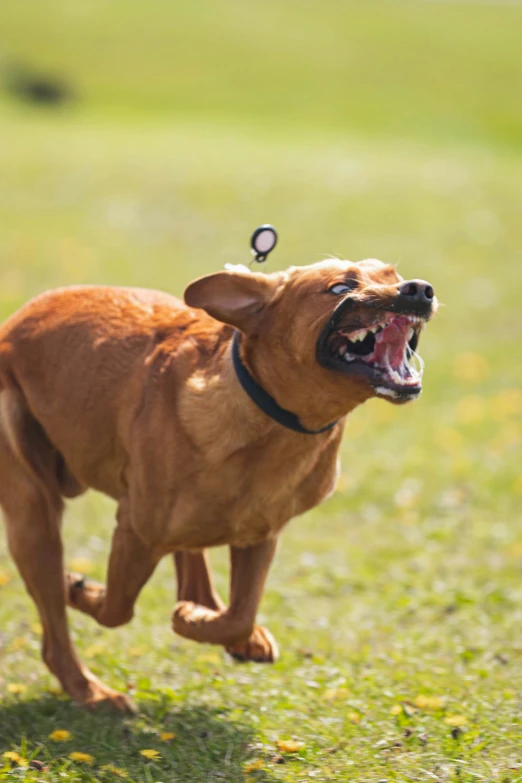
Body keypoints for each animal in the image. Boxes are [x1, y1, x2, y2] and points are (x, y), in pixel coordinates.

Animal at [0, 258, 432, 712]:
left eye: (392, 275)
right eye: (340, 288)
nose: (419, 290)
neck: (273, 422)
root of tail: (14, 323)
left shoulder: (261, 534)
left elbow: (241, 613)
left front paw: (199, 620)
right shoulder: (135, 530)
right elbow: (116, 609)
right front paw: (81, 590)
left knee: (191, 563)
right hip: (33, 519)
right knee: (56, 633)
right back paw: (91, 690)